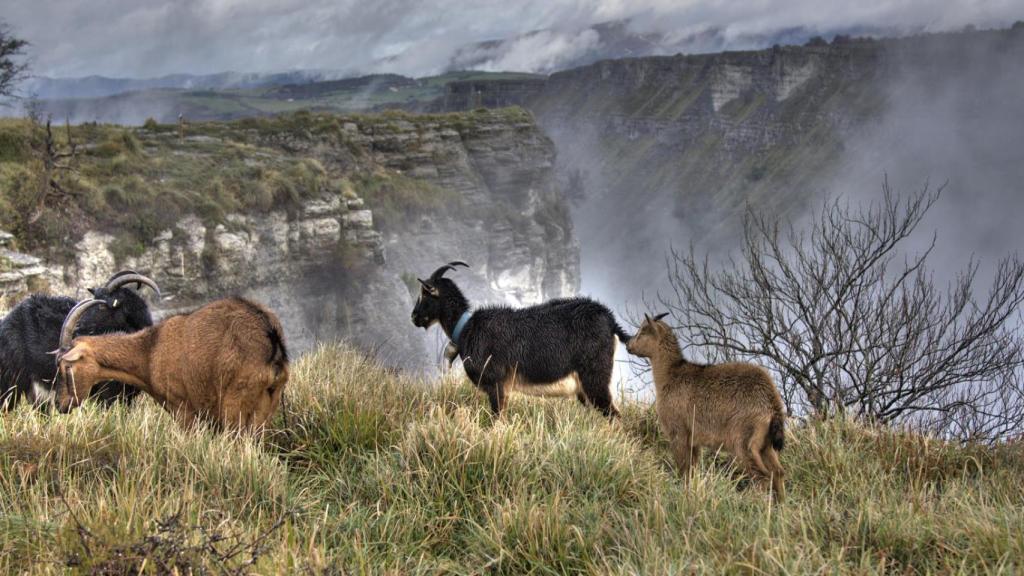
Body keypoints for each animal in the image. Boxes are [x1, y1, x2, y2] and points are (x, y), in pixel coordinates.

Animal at [54, 295, 290, 430]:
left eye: (66, 366)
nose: (60, 404)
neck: (149, 351)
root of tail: (271, 340)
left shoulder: (183, 409)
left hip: (235, 403)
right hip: (266, 407)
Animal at [411, 261, 626, 416]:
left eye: (424, 293)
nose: (414, 317)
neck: (466, 327)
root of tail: (610, 320)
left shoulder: (496, 385)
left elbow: (497, 418)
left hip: (595, 378)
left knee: (613, 415)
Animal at [622, 313, 782, 498]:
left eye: (642, 331)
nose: (628, 345)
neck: (671, 375)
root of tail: (772, 403)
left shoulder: (678, 431)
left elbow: (683, 468)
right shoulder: (694, 440)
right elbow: (692, 469)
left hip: (744, 440)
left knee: (763, 476)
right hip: (766, 445)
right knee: (778, 472)